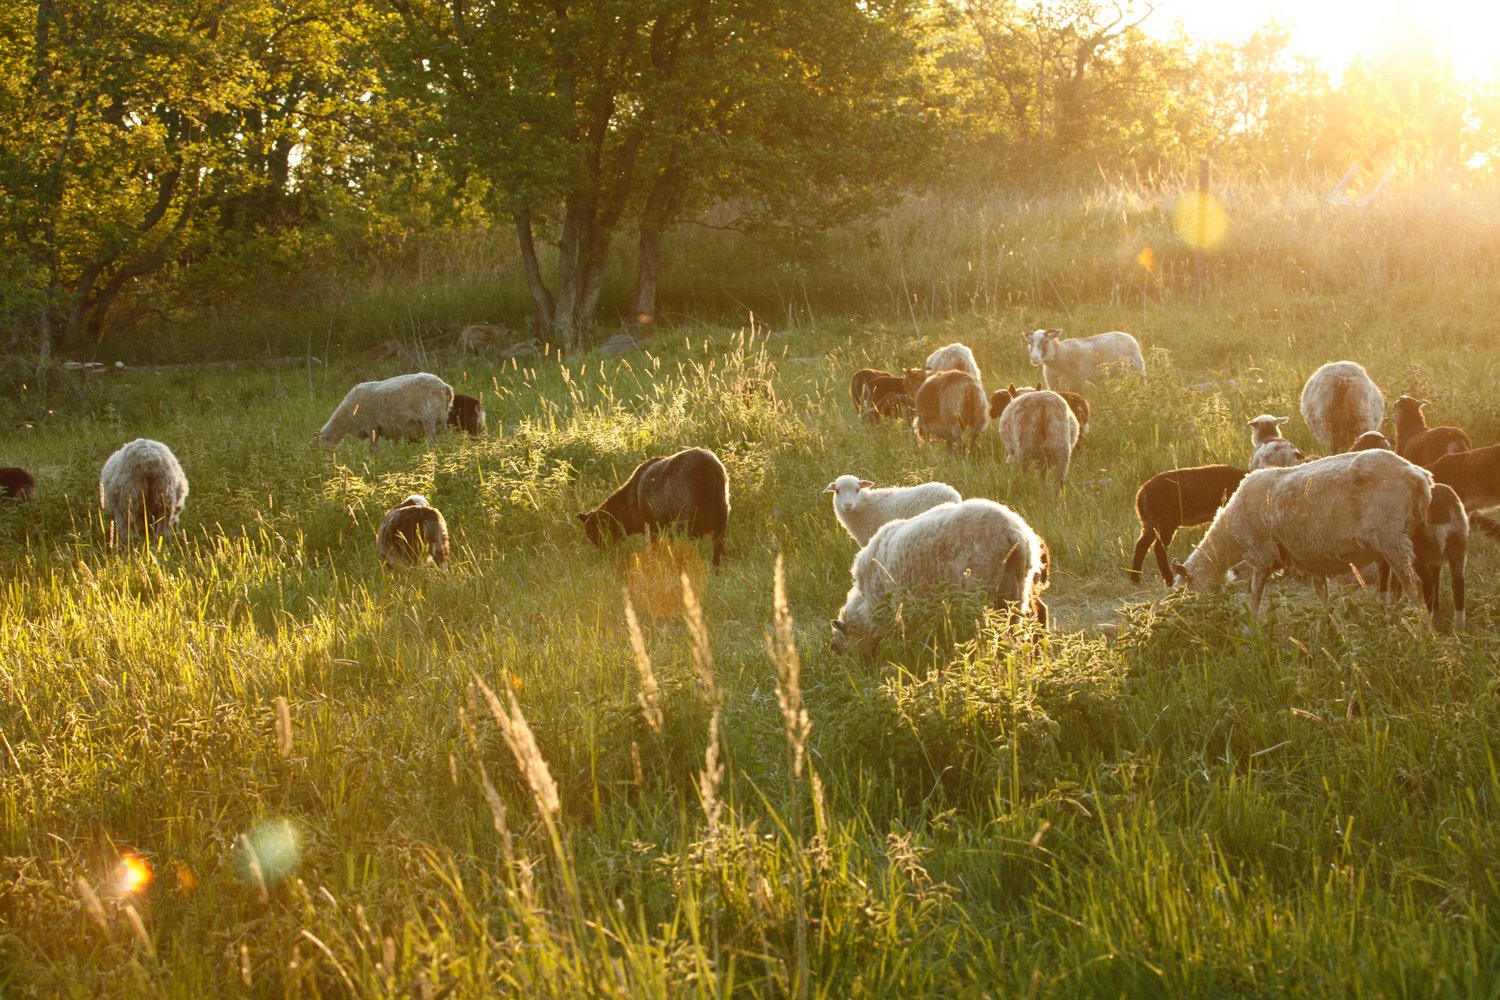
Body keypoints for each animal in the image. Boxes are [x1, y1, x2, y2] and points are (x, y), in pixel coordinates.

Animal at [318, 373, 453, 452]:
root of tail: (445, 387)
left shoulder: (372, 427)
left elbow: (374, 450)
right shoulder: (394, 429)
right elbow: (393, 447)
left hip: (429, 418)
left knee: (432, 441)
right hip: (442, 418)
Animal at [576, 449, 729, 566]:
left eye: (591, 531)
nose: (603, 554)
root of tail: (708, 469)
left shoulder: (652, 525)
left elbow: (654, 549)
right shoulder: (667, 527)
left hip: (688, 520)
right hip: (721, 519)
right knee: (718, 551)